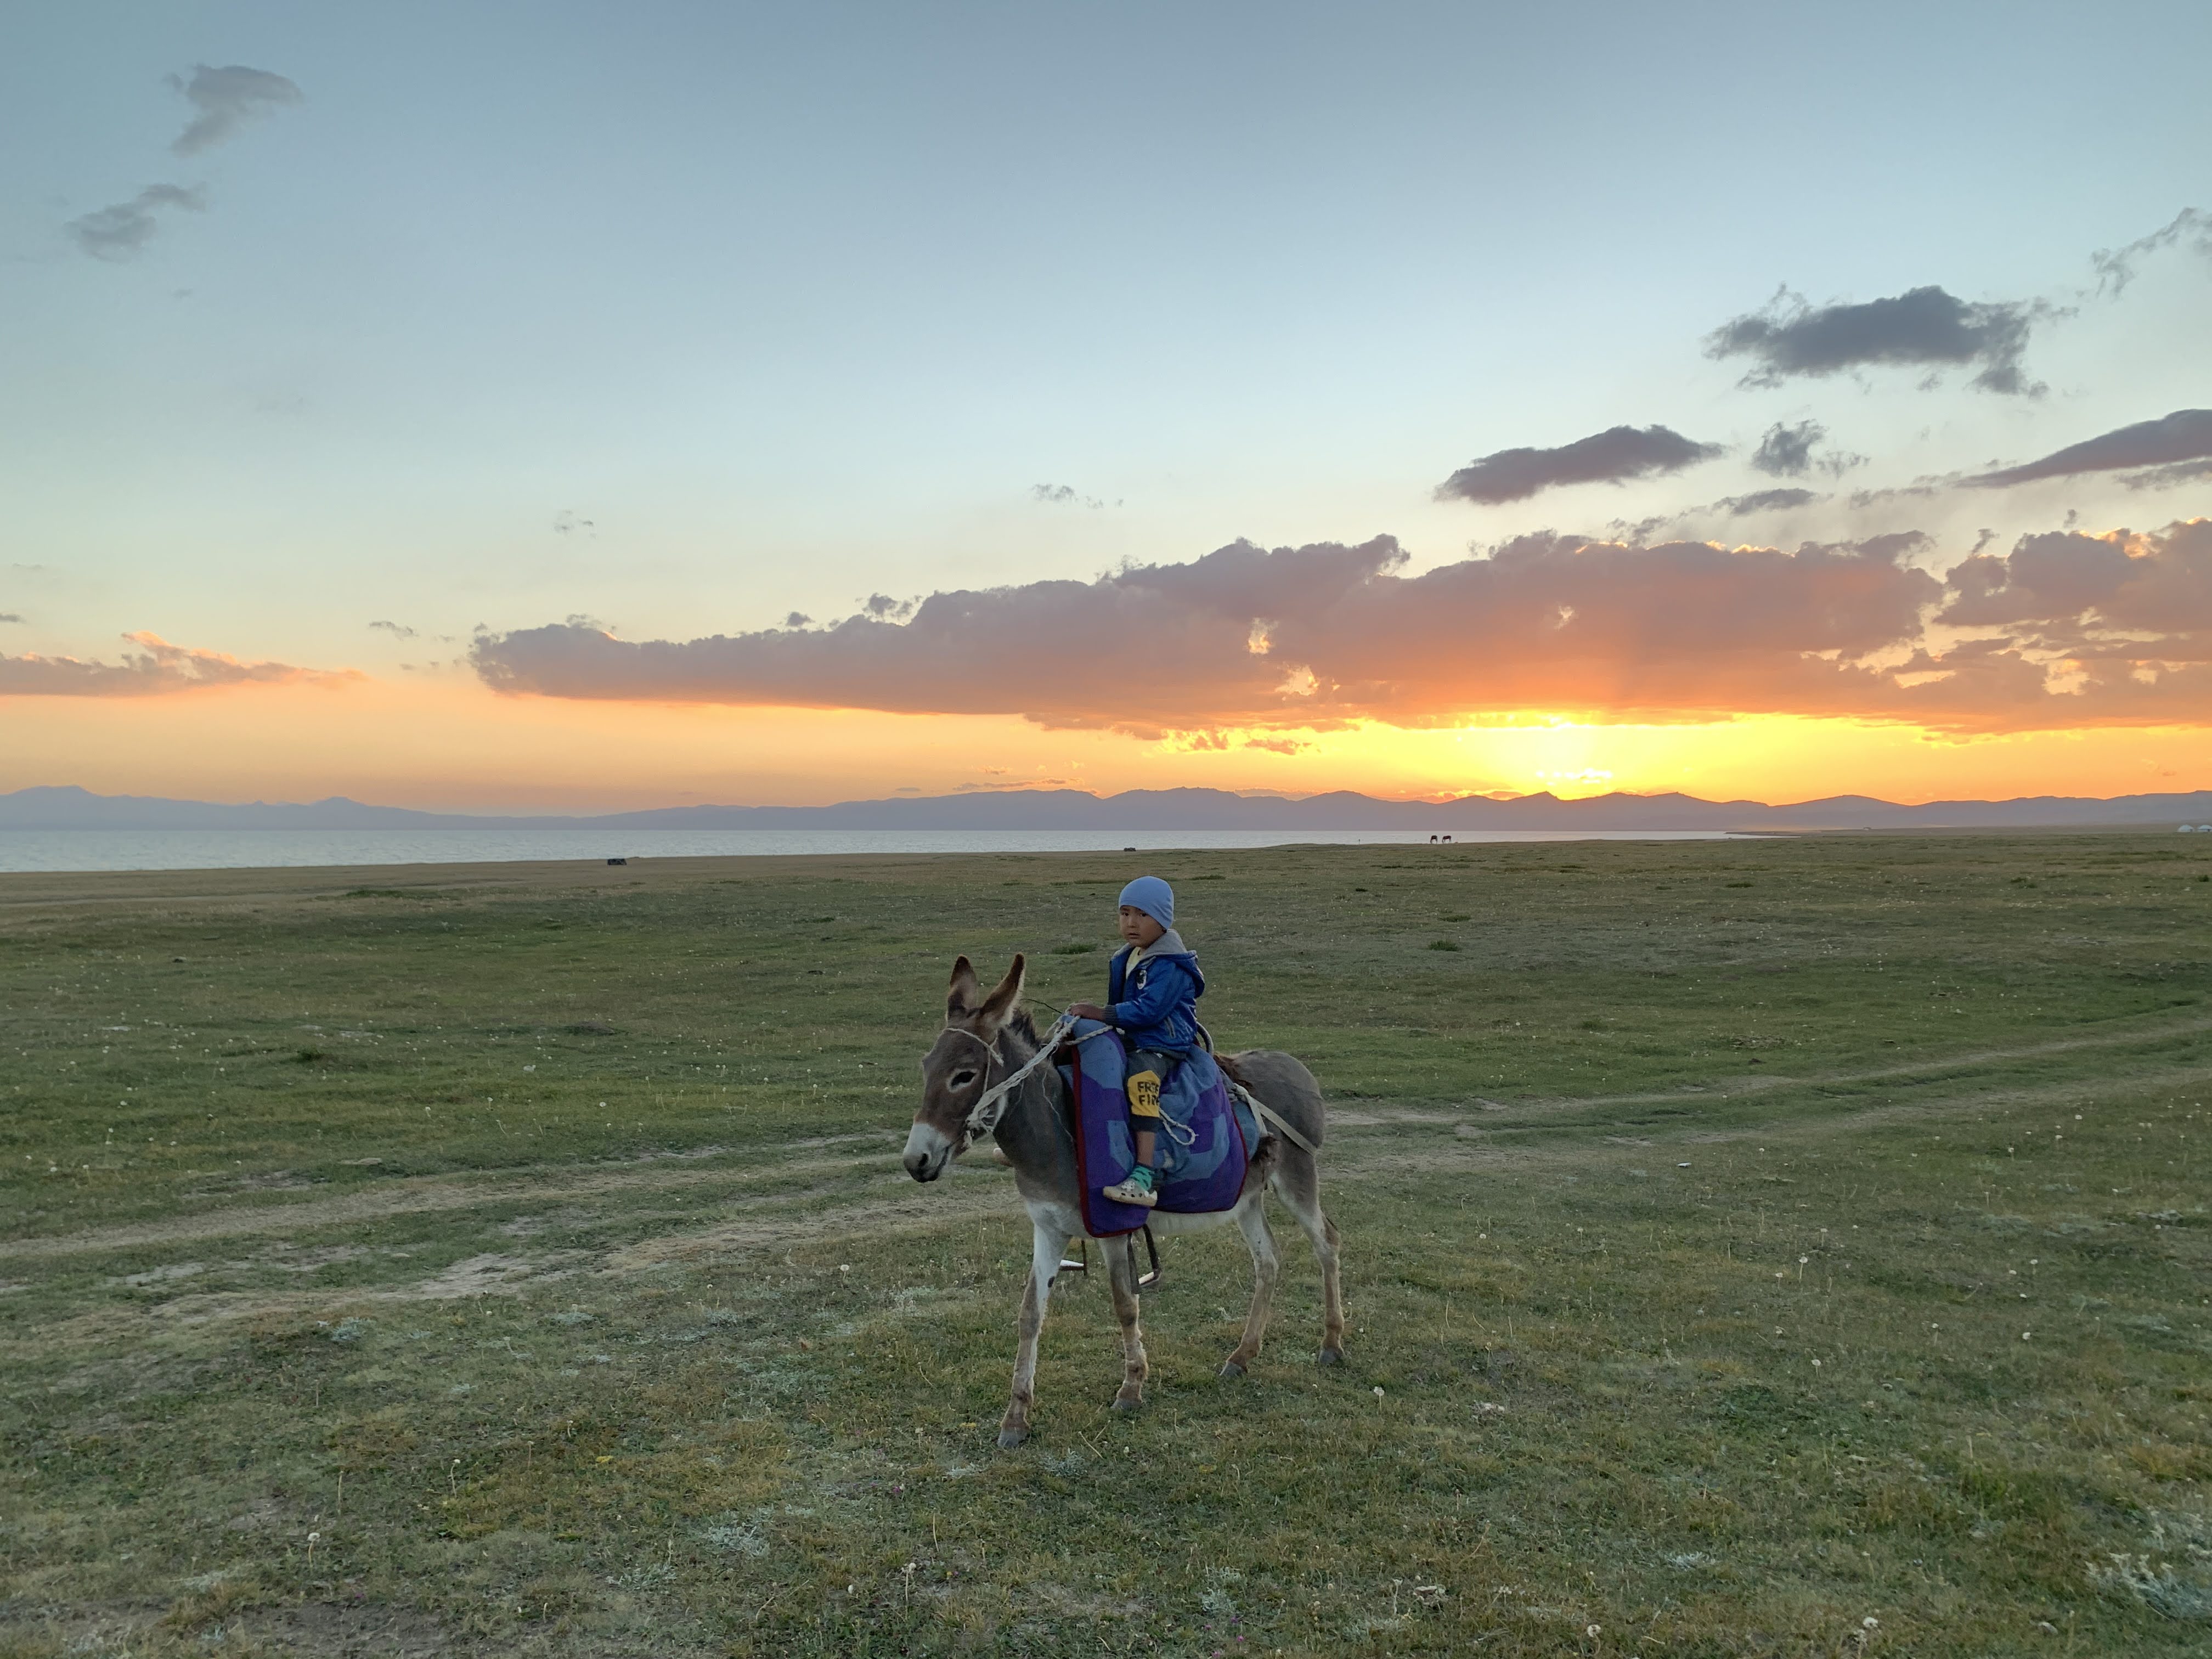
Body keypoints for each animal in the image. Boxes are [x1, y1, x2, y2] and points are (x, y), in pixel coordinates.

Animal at [902, 953, 1346, 1449]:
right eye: (926, 1067)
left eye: (964, 1075)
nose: (916, 1160)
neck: (1058, 1130)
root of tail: (1294, 1064)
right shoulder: (1049, 1229)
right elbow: (1030, 1313)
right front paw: (1016, 1418)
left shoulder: (1112, 1228)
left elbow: (1124, 1303)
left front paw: (1131, 1389)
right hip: (1246, 1198)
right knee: (1268, 1260)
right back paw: (1241, 1356)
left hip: (1297, 1178)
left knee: (1327, 1243)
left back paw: (1331, 1345)